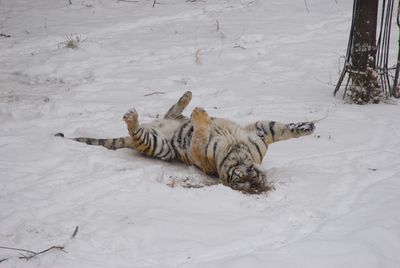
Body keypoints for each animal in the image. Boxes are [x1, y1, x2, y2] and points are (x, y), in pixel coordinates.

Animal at [55, 91, 316, 194]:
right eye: (243, 175)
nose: (251, 172)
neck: (237, 150)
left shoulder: (198, 149)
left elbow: (199, 135)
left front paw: (200, 115)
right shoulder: (259, 134)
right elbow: (279, 128)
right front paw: (307, 127)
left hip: (158, 146)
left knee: (138, 133)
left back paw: (132, 117)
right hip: (168, 124)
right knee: (170, 112)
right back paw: (187, 97)